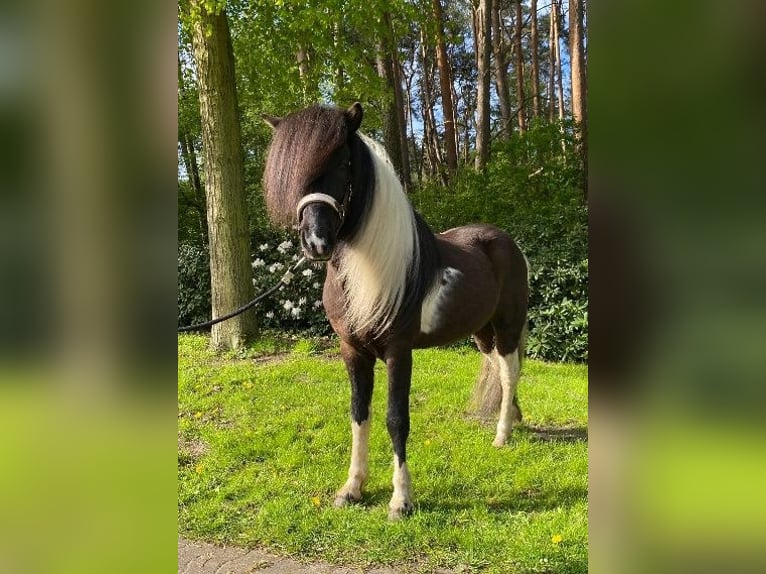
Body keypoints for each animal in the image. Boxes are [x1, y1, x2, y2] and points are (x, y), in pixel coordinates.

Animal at [262, 103, 528, 520]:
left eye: (343, 162)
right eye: (292, 173)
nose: (316, 242)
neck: (366, 274)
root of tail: (506, 242)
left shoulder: (398, 352)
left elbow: (395, 418)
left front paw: (401, 500)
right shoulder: (352, 351)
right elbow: (359, 414)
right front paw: (352, 489)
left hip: (507, 327)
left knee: (510, 371)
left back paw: (502, 435)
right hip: (481, 333)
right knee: (501, 372)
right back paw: (512, 419)